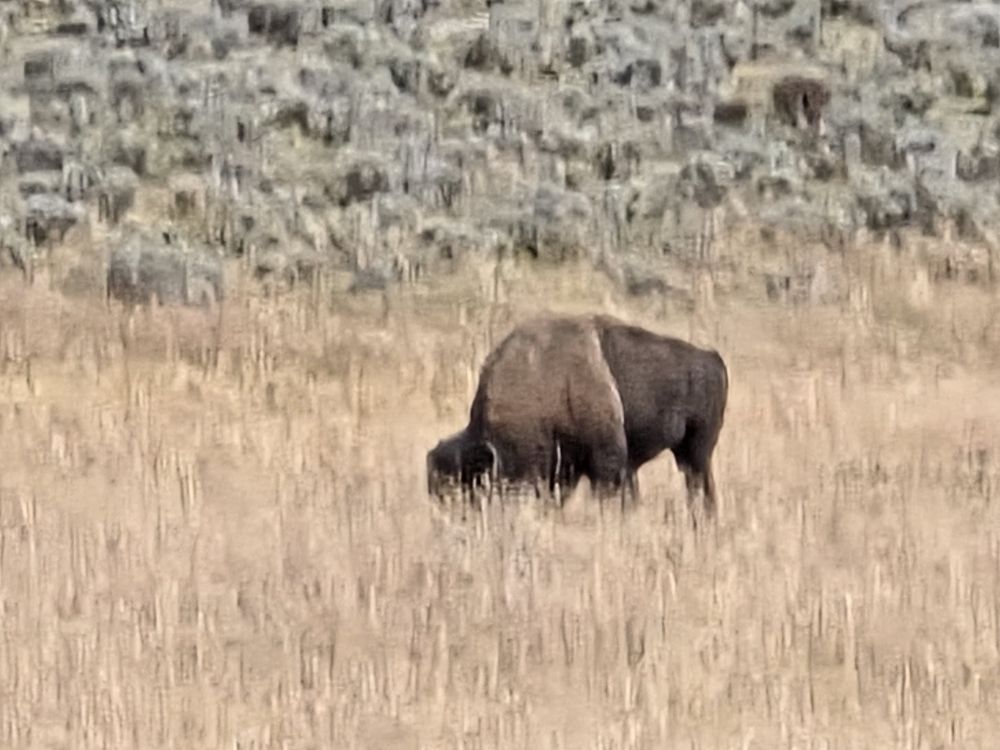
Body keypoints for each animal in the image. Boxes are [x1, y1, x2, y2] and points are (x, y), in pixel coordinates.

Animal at [426, 314, 729, 517]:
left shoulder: (607, 460)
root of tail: (712, 358)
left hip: (697, 451)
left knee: (700, 484)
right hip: (690, 453)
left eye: (460, 482)